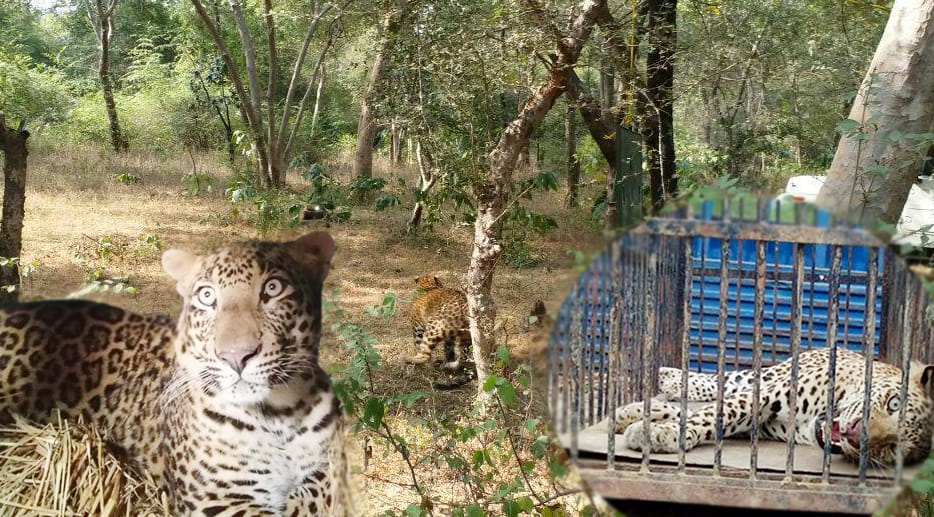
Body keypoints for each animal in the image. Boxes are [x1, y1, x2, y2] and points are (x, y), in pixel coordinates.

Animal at [0, 231, 344, 516]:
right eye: (207, 296)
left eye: (273, 289)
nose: (235, 356)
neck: (279, 415)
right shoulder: (218, 499)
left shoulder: (326, 468)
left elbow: (316, 495)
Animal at [614, 348, 934, 466]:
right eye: (894, 403)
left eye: (892, 450)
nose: (855, 435)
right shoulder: (767, 396)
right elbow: (715, 412)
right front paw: (658, 433)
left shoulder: (763, 426)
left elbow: (708, 416)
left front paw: (651, 428)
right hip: (770, 376)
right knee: (727, 380)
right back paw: (668, 377)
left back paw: (630, 413)